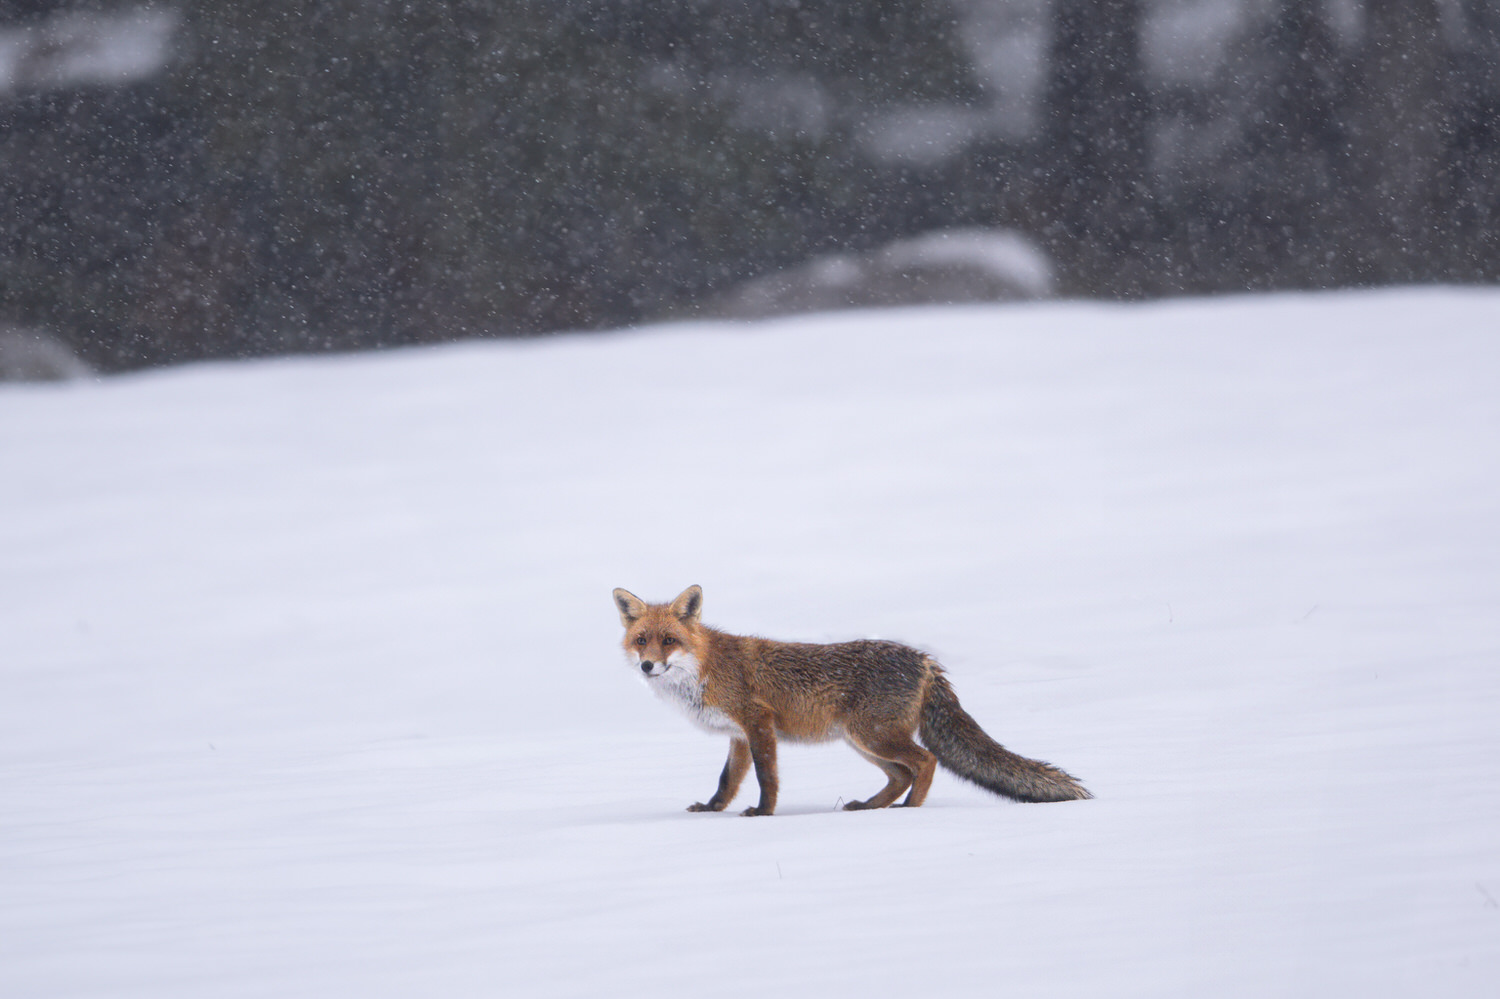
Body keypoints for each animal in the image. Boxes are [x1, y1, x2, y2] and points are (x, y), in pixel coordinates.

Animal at [613, 584, 1091, 816]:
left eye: (669, 641)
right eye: (641, 641)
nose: (648, 666)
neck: (705, 669)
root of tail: (925, 659)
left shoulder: (758, 722)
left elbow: (767, 779)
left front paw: (763, 815)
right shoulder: (738, 735)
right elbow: (726, 782)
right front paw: (711, 811)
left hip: (872, 736)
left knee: (925, 762)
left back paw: (910, 812)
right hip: (861, 741)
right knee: (900, 774)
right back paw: (872, 808)